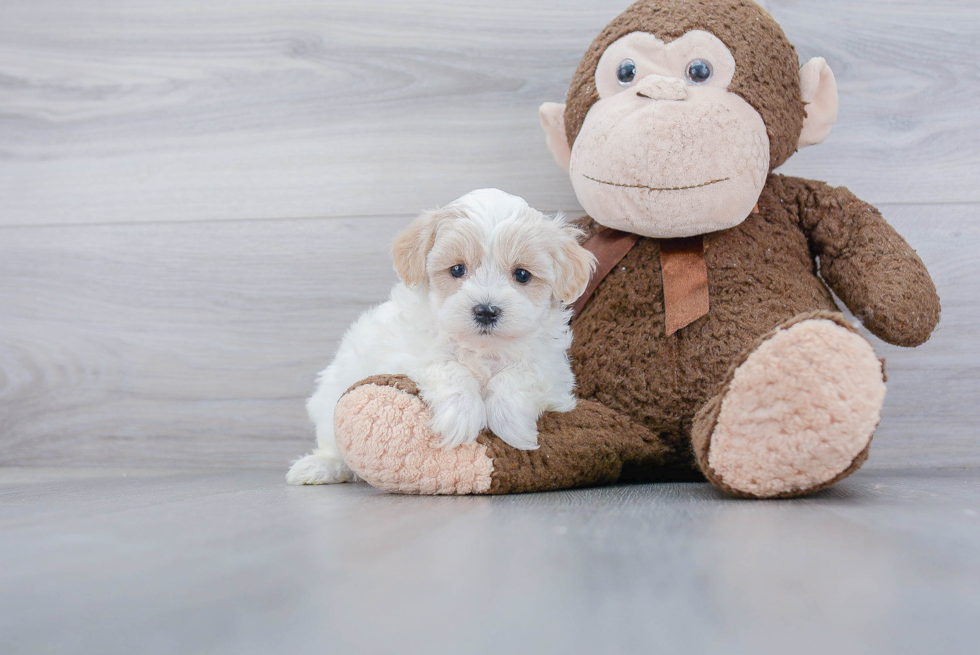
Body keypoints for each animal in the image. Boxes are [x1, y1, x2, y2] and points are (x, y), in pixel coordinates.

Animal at [288, 187, 592, 484]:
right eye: (457, 269)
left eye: (522, 275)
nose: (486, 310)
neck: (480, 349)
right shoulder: (403, 356)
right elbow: (449, 367)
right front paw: (462, 415)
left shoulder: (553, 374)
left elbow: (517, 376)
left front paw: (510, 422)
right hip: (328, 399)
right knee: (333, 443)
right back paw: (320, 467)